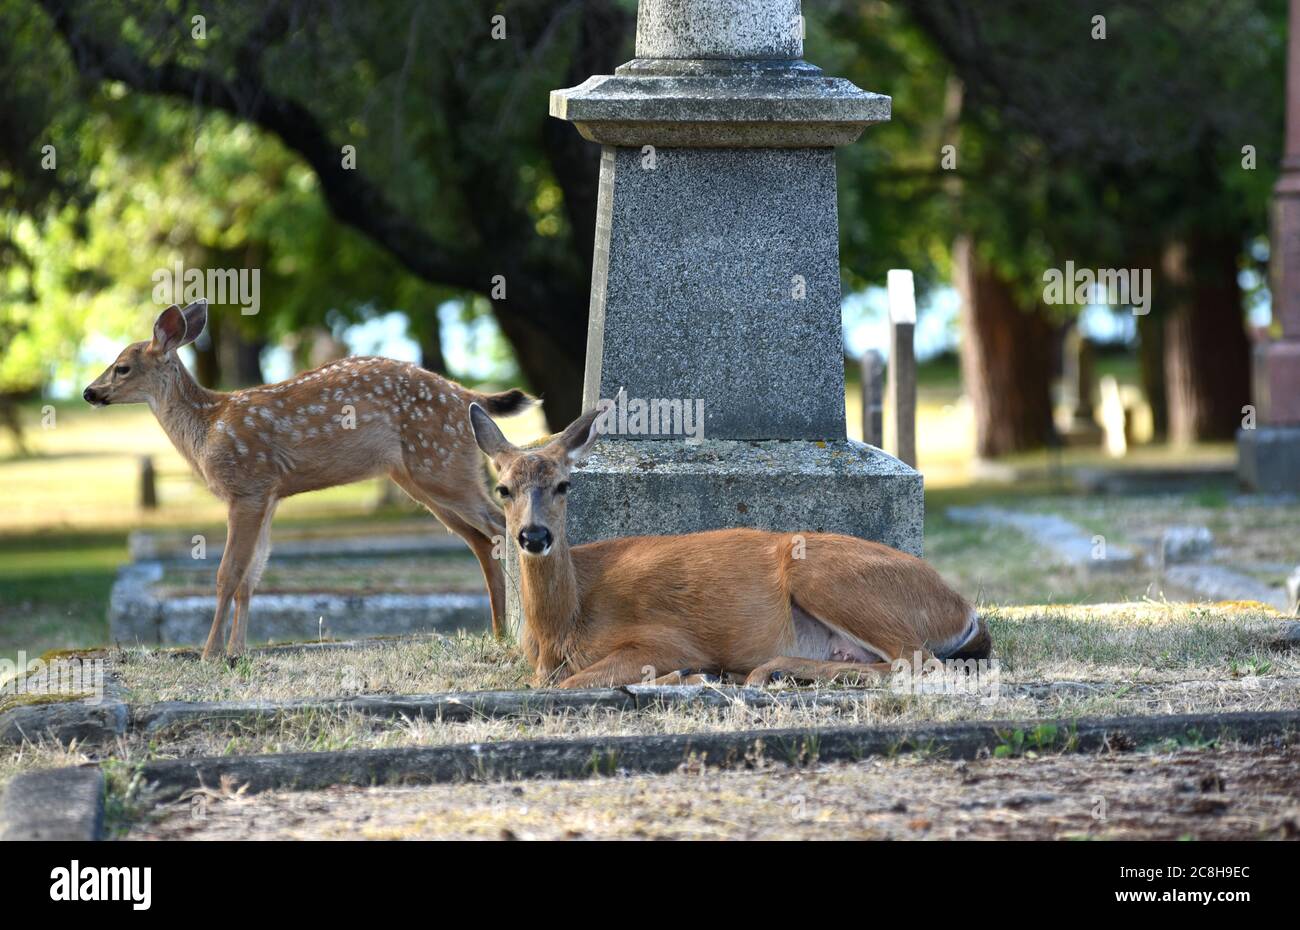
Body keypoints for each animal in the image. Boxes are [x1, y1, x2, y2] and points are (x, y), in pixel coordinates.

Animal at [82, 301, 533, 658]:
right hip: (425, 478)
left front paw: (209, 653)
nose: (88, 391)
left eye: (122, 367)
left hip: (441, 465)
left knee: (499, 527)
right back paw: (498, 631)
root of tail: (464, 395)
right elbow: (251, 577)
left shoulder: (245, 486)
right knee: (482, 540)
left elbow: (228, 573)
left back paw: (519, 629)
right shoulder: (268, 495)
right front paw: (236, 651)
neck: (207, 428)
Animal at [473, 403, 987, 686]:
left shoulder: (664, 639)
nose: (534, 535)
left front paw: (688, 676)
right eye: (503, 489)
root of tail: (964, 609)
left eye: (564, 485)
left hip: (827, 576)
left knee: (918, 662)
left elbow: (569, 685)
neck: (560, 628)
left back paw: (762, 672)